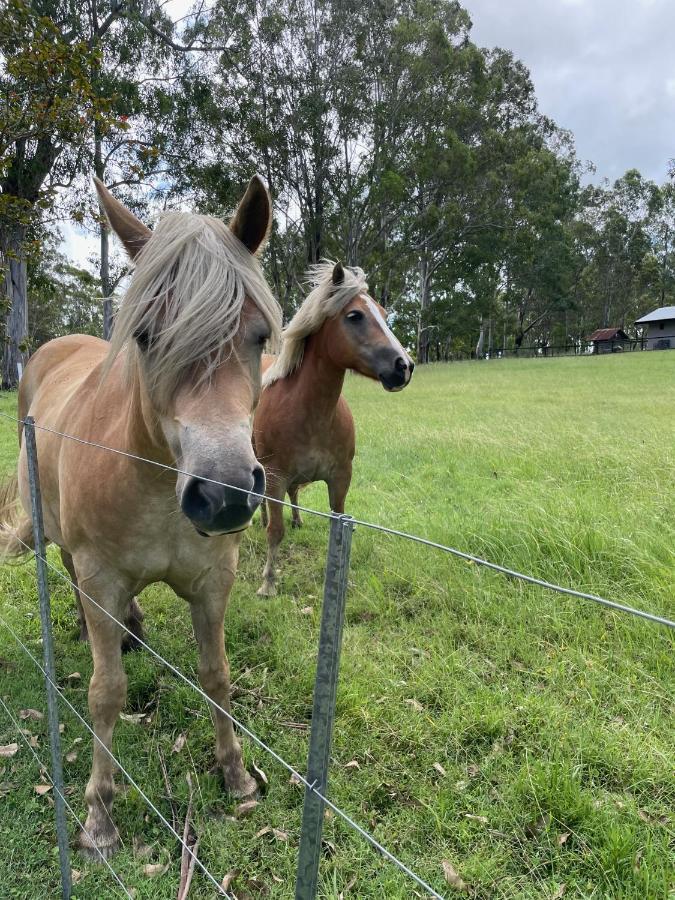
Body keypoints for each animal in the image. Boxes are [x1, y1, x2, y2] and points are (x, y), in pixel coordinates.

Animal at [0, 174, 282, 856]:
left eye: (259, 336)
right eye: (147, 335)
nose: (224, 493)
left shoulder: (214, 581)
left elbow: (217, 675)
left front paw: (235, 775)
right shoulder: (102, 577)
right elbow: (107, 694)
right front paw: (99, 815)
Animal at [252, 262, 412, 596]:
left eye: (383, 313)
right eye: (355, 315)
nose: (404, 366)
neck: (311, 415)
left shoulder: (340, 477)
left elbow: (337, 525)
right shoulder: (275, 476)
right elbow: (275, 531)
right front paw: (268, 583)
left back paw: (298, 520)